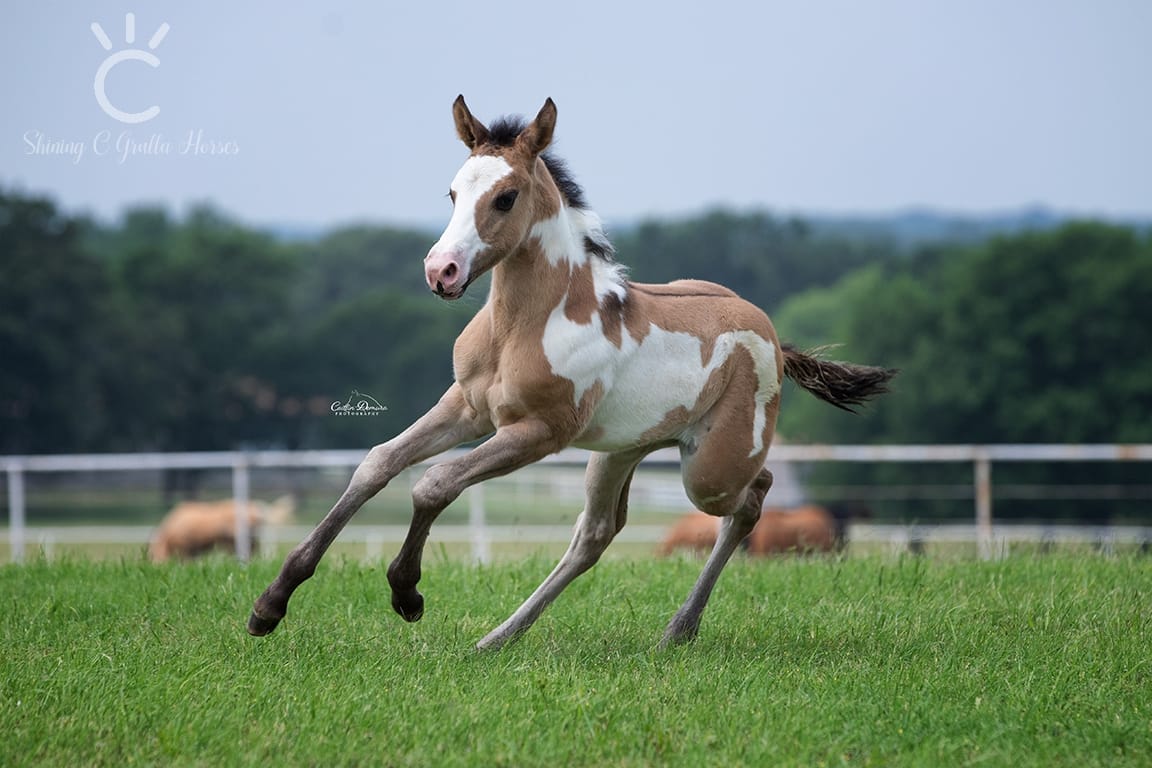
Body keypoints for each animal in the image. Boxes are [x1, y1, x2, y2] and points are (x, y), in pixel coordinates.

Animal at [249, 94, 898, 649]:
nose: (442, 272)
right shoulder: (466, 407)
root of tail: (769, 334)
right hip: (618, 452)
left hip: (709, 470)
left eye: (505, 197)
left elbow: (434, 483)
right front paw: (270, 604)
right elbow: (378, 464)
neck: (524, 325)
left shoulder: (537, 432)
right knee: (596, 535)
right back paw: (498, 638)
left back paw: (678, 628)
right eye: (452, 192)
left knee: (752, 499)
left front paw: (407, 594)